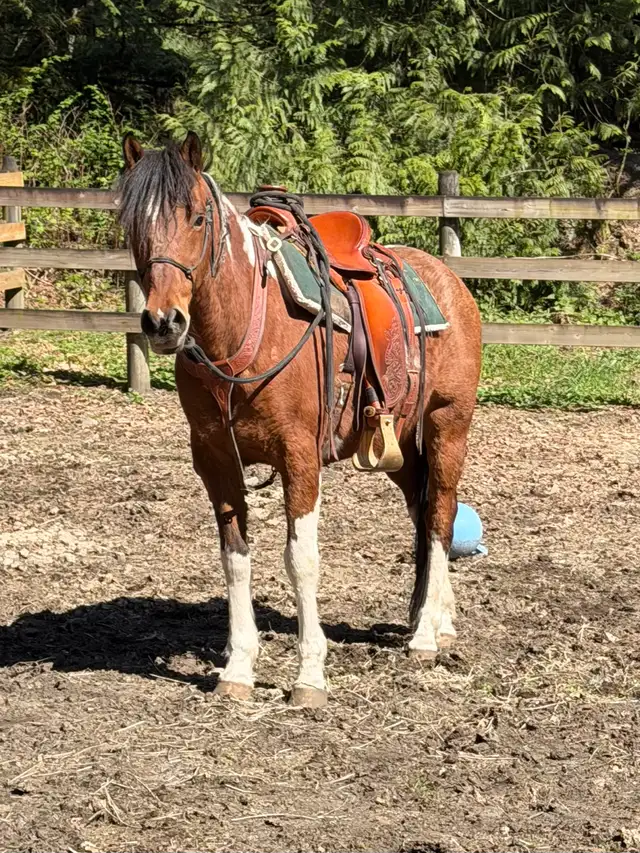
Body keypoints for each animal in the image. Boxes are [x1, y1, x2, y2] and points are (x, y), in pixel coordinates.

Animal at [118, 131, 482, 708]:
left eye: (197, 218)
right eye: (132, 223)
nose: (162, 321)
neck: (245, 331)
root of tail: (448, 279)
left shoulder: (300, 457)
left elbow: (301, 559)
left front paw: (310, 674)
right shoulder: (215, 461)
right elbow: (235, 558)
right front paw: (238, 666)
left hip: (449, 427)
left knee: (442, 517)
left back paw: (425, 635)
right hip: (402, 447)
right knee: (424, 518)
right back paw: (436, 620)